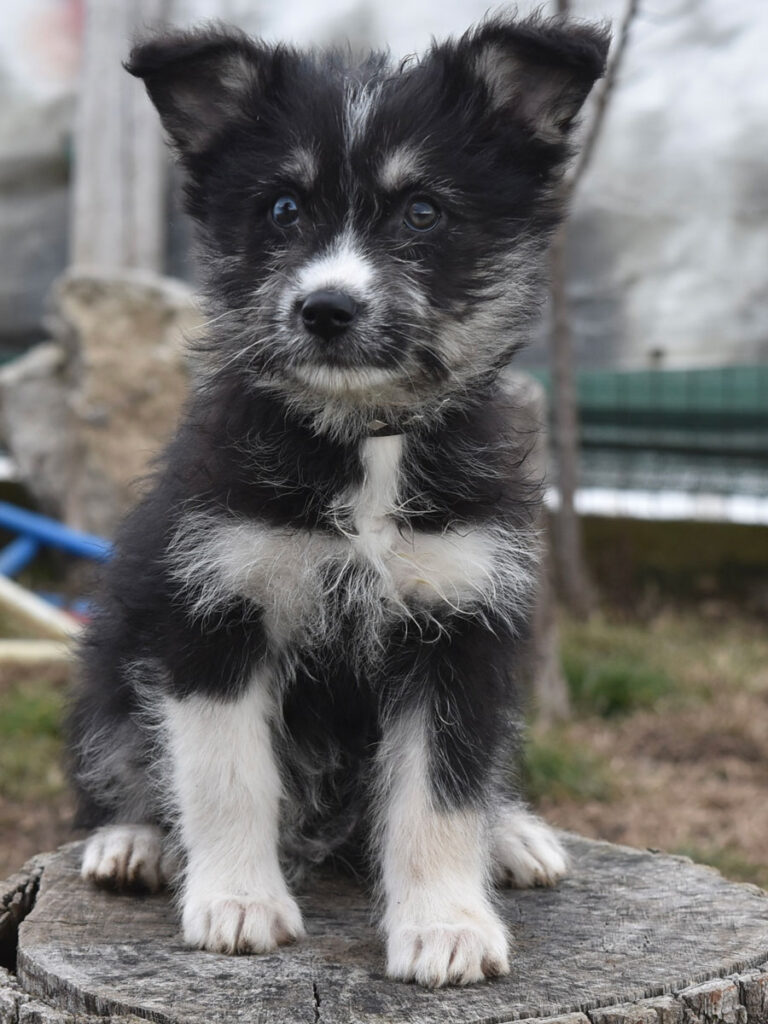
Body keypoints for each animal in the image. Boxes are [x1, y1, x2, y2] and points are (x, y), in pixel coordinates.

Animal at [69, 13, 609, 988]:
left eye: (423, 211)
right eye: (284, 209)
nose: (326, 308)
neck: (366, 446)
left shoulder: (461, 624)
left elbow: (442, 791)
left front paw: (445, 924)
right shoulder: (212, 608)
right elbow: (225, 774)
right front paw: (238, 902)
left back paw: (511, 833)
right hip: (110, 654)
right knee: (118, 755)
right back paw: (132, 842)